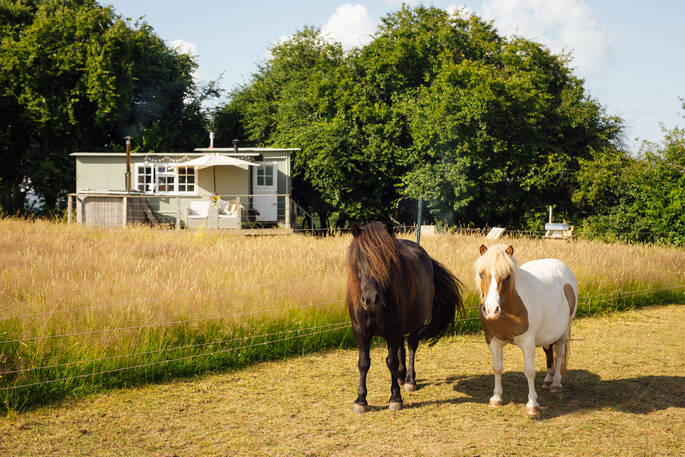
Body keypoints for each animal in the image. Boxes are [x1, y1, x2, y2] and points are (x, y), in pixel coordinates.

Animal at [346, 221, 464, 413]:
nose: (370, 299)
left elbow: (391, 362)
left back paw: (409, 380)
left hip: (415, 324)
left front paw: (395, 398)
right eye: (360, 258)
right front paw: (361, 400)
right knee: (401, 348)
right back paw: (401, 377)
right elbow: (363, 363)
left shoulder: (393, 331)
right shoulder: (360, 331)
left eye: (386, 259)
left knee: (411, 347)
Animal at [475, 244, 578, 415]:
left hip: (564, 331)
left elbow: (529, 371)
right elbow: (497, 368)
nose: (491, 310)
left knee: (559, 353)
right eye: (481, 274)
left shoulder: (528, 342)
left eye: (507, 276)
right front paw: (496, 398)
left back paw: (556, 384)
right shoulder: (493, 340)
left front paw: (532, 404)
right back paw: (548, 380)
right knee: (548, 351)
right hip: (546, 336)